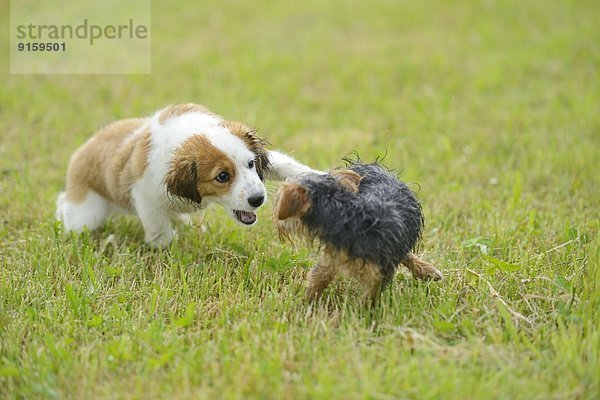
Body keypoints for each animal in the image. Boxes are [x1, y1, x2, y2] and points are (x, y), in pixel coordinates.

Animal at [56, 103, 318, 247]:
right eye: (222, 176)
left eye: (251, 163)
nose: (258, 199)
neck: (189, 135)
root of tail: (83, 148)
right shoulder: (145, 198)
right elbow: (161, 233)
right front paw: (164, 249)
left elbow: (286, 165)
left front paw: (317, 176)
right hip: (86, 214)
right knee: (67, 206)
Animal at [276, 161, 440, 302]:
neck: (347, 215)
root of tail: (373, 166)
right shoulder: (333, 256)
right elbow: (318, 278)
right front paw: (305, 303)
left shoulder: (378, 273)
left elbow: (369, 299)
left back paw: (428, 271)